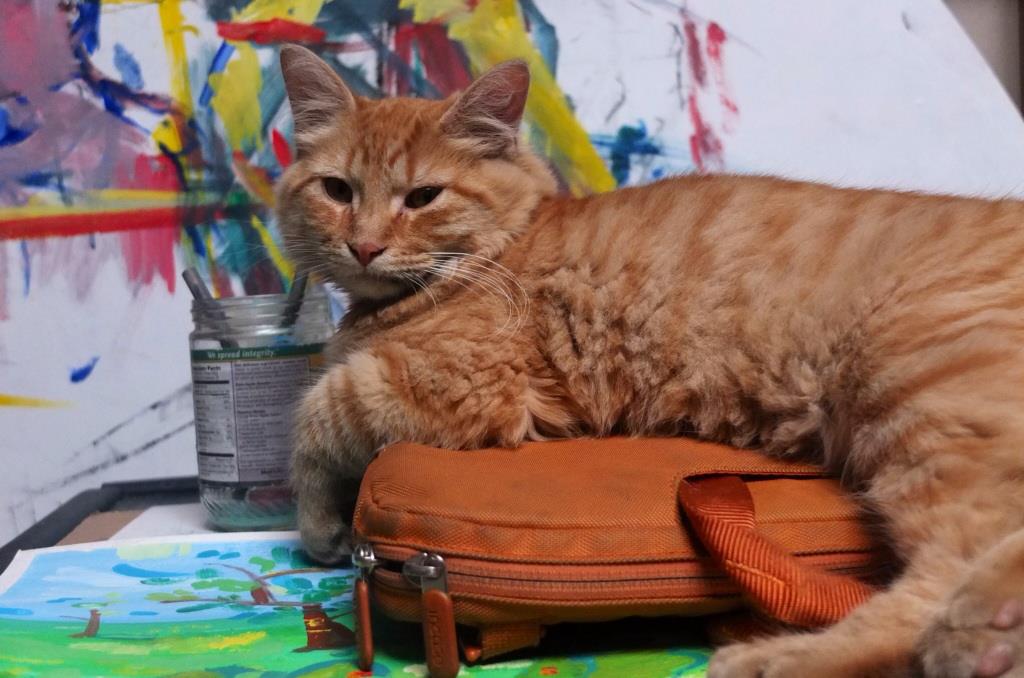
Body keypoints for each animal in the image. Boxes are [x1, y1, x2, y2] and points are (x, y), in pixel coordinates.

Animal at [275, 44, 1024, 678]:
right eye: (338, 191)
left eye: (422, 197)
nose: (365, 246)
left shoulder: (461, 384)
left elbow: (314, 417)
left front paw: (318, 524)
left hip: (922, 396)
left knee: (943, 574)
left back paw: (800, 656)